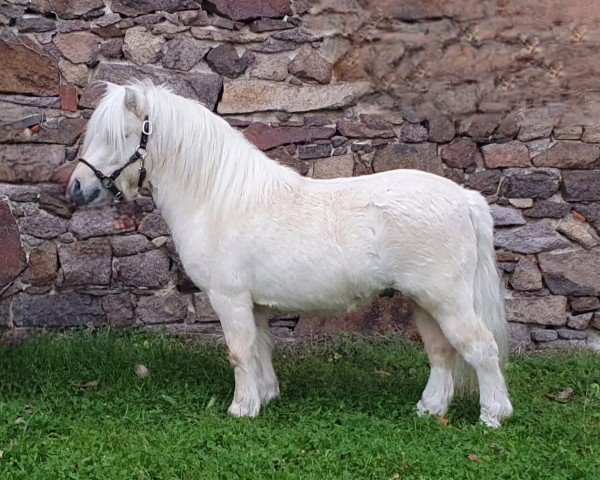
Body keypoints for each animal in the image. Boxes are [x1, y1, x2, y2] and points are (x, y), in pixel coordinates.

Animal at [68, 83, 512, 428]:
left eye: (118, 136)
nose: (76, 188)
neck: (217, 197)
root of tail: (464, 198)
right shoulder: (255, 304)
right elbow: (261, 348)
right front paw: (265, 396)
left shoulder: (229, 299)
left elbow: (239, 351)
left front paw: (241, 408)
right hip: (425, 303)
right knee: (442, 353)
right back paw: (429, 408)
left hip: (447, 301)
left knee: (481, 348)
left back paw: (493, 415)